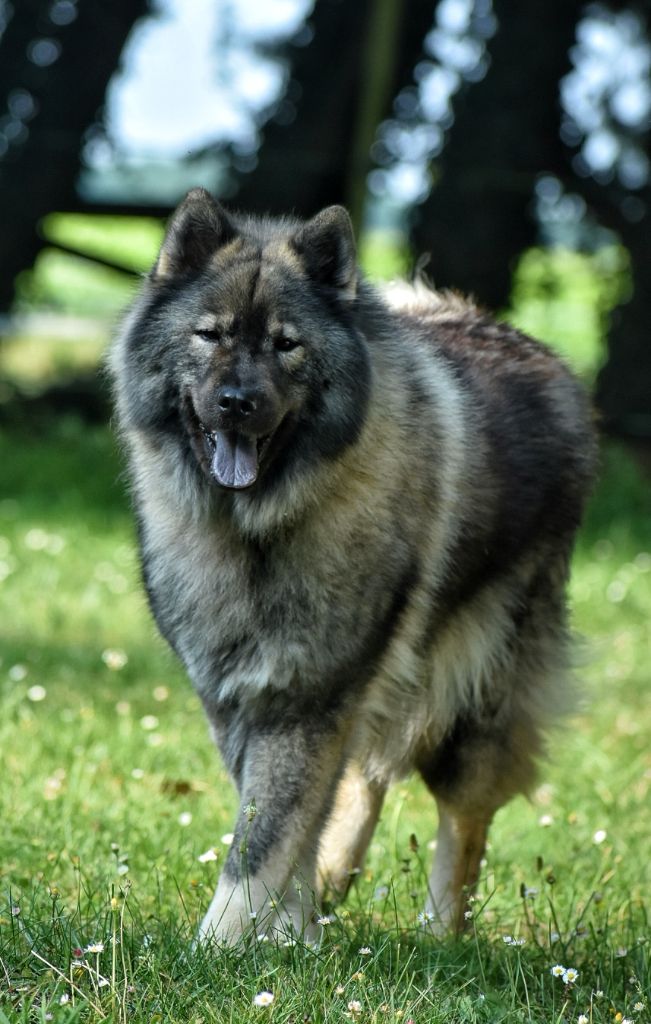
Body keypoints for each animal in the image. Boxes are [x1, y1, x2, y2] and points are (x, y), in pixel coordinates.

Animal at [110, 188, 596, 944]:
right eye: (209, 335)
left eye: (287, 344)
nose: (238, 402)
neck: (259, 529)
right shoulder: (240, 695)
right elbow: (286, 818)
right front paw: (290, 932)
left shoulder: (307, 691)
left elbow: (264, 835)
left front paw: (219, 947)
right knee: (363, 776)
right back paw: (336, 880)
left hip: (479, 689)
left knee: (463, 816)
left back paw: (440, 934)